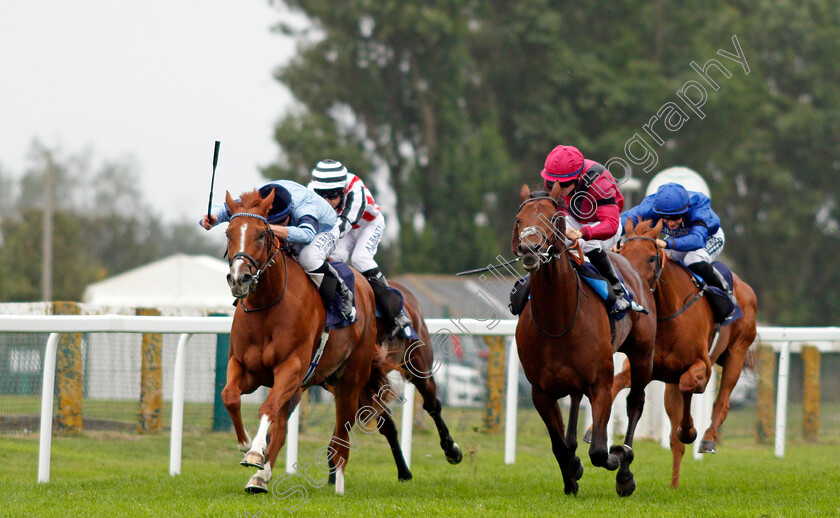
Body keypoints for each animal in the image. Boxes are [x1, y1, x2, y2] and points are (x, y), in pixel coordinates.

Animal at [221, 190, 396, 496]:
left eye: (261, 235)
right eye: (229, 233)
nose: (239, 279)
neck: (268, 306)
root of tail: (364, 284)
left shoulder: (291, 366)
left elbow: (267, 409)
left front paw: (254, 452)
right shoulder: (244, 367)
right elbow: (230, 396)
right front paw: (246, 445)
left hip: (349, 380)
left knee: (342, 434)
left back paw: (338, 485)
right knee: (281, 429)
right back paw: (260, 478)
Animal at [512, 185, 656, 498]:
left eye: (555, 218)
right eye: (518, 219)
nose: (530, 249)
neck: (558, 321)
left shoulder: (600, 383)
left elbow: (600, 451)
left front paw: (616, 457)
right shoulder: (540, 392)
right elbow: (559, 446)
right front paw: (571, 479)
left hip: (642, 355)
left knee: (635, 402)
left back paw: (625, 466)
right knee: (576, 402)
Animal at [616, 218, 760, 488]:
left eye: (652, 257)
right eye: (623, 254)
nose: (632, 288)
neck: (666, 316)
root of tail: (744, 286)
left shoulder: (702, 366)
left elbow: (690, 385)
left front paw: (690, 430)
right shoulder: (644, 367)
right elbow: (614, 383)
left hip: (737, 353)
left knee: (722, 402)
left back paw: (708, 438)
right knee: (675, 440)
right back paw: (674, 485)